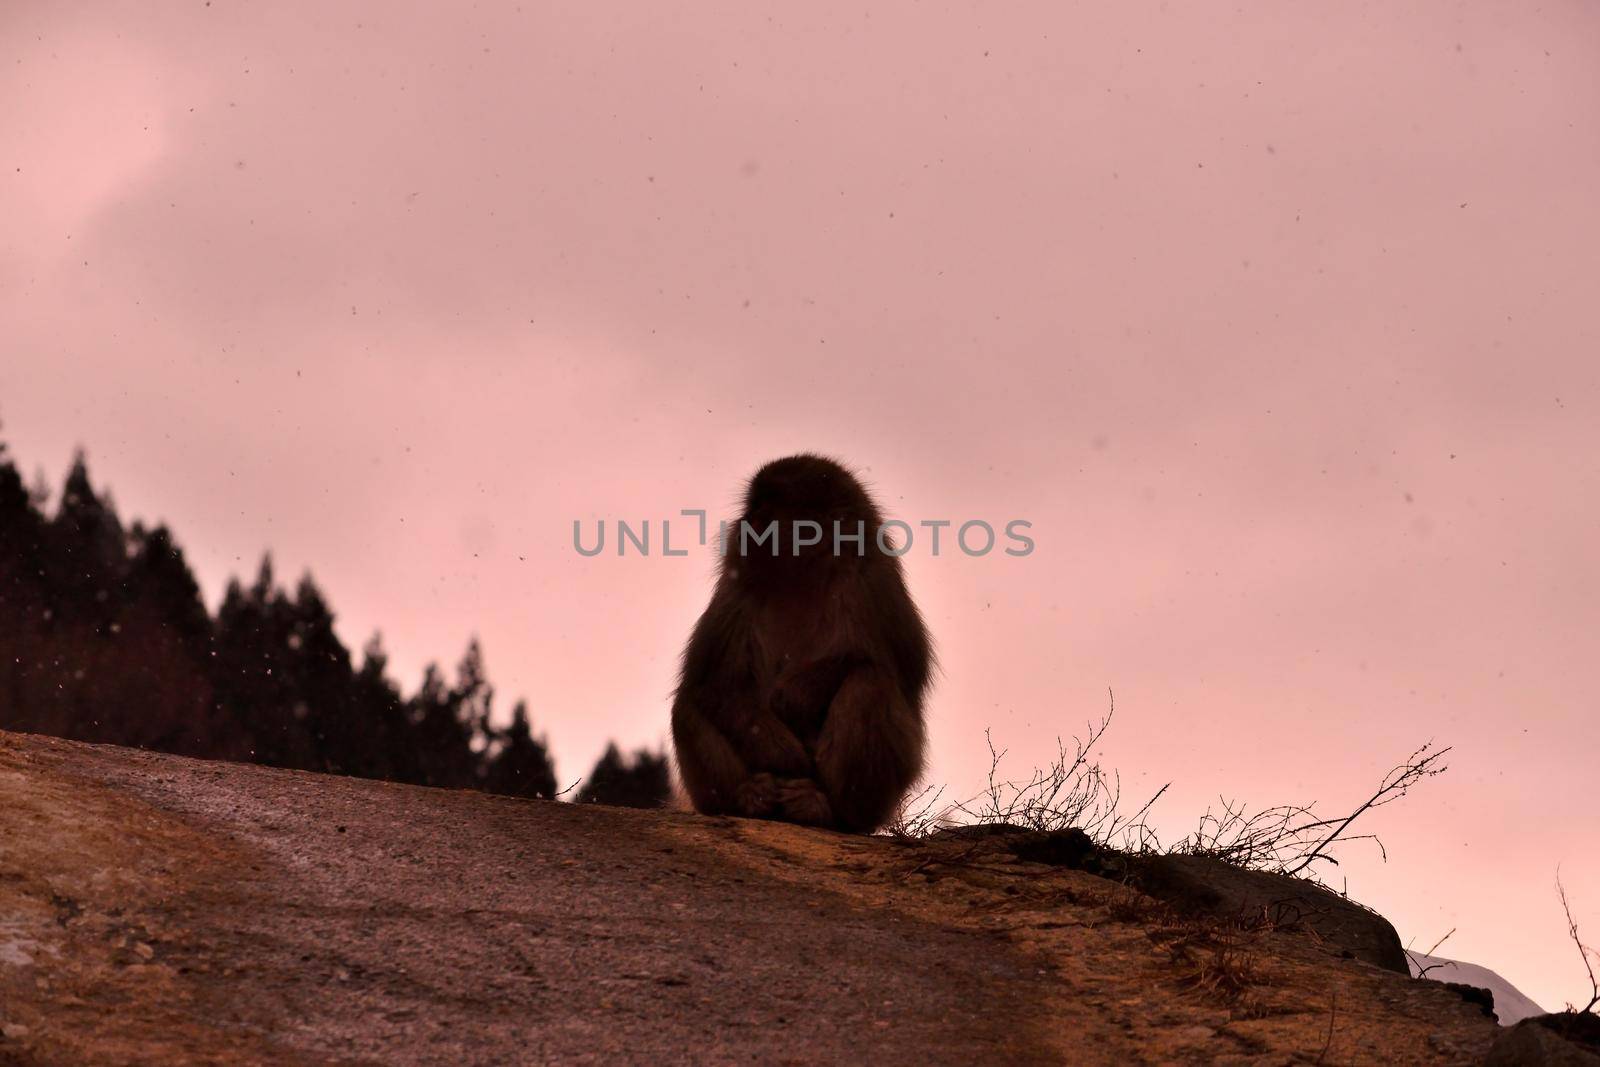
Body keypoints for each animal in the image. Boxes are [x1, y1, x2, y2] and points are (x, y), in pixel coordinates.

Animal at [665, 451, 934, 831]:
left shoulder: (872, 582)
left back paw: (828, 811)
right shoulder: (736, 590)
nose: (747, 521)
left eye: (769, 506)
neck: (800, 576)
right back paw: (747, 798)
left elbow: (892, 663)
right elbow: (713, 683)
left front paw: (794, 699)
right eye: (754, 504)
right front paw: (782, 752)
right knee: (687, 705)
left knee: (870, 683)